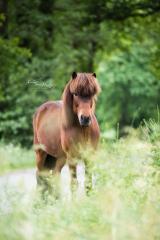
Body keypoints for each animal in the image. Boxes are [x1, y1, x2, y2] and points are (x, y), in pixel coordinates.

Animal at [32, 71, 100, 199]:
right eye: (75, 94)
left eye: (92, 94)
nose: (85, 118)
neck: (83, 130)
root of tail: (40, 111)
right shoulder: (72, 159)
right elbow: (73, 184)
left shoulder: (89, 156)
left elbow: (88, 183)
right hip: (41, 153)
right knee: (40, 176)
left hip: (59, 158)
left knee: (54, 176)